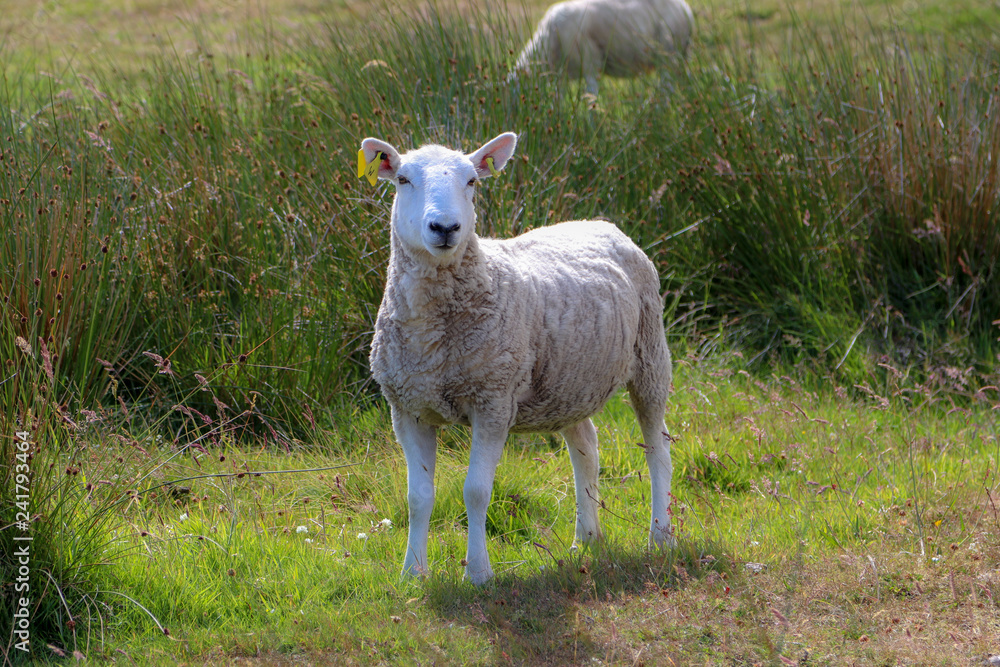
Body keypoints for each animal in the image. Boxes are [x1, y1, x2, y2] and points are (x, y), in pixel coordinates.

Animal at [358, 131, 675, 584]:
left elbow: (475, 491)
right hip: (569, 380)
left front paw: (477, 573)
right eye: (403, 179)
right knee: (586, 446)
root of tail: (599, 223)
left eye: (472, 181)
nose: (445, 228)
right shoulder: (407, 408)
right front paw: (413, 574)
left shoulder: (493, 400)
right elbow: (418, 496)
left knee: (657, 448)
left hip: (650, 357)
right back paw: (586, 539)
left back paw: (660, 537)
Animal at [511, 0, 694, 96]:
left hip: (668, 54)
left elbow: (591, 99)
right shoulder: (561, 76)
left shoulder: (590, 62)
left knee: (667, 89)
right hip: (681, 57)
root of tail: (686, 9)